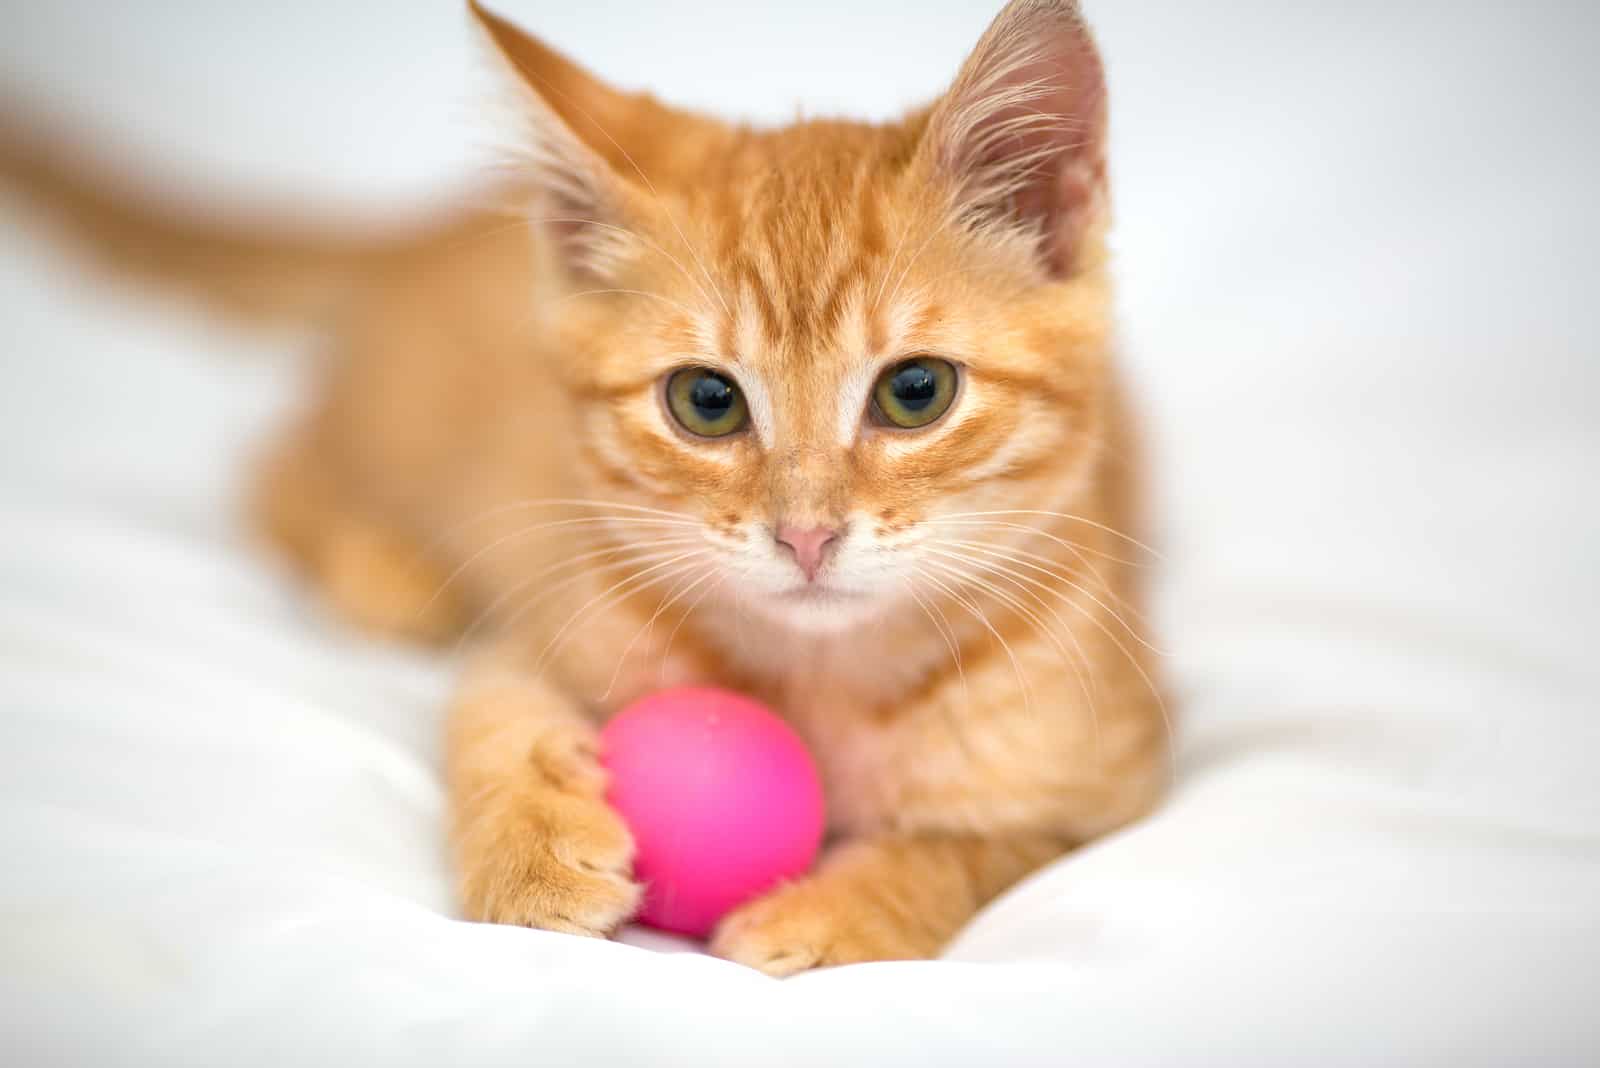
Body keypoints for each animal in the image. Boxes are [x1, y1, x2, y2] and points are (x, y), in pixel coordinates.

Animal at [6, 0, 1171, 972]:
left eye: (916, 392)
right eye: (706, 401)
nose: (805, 536)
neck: (822, 681)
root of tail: (421, 224)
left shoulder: (1118, 781)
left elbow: (980, 848)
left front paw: (845, 908)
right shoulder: (542, 614)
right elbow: (489, 711)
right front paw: (531, 853)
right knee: (276, 464)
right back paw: (385, 566)